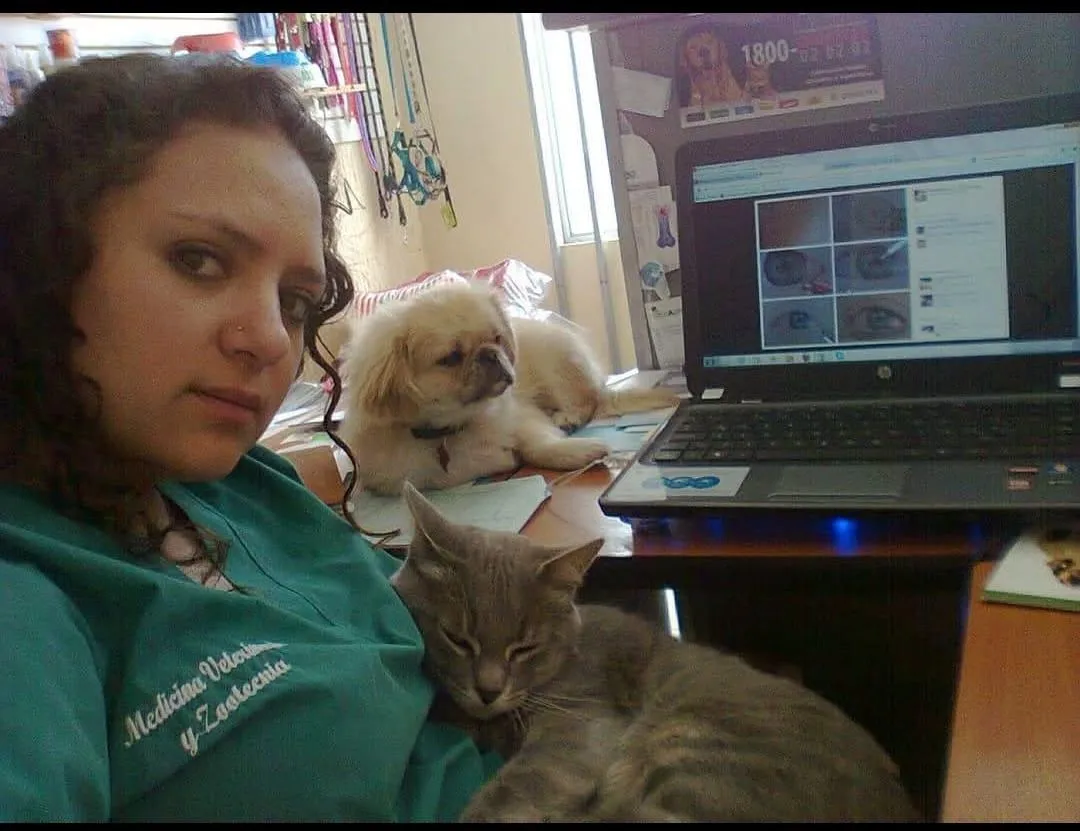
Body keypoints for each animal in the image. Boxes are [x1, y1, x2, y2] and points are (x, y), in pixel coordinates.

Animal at [337, 281, 680, 495]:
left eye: (497, 338)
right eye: (451, 358)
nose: (491, 354)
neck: (451, 428)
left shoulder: (523, 417)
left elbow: (539, 445)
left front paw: (576, 451)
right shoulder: (407, 478)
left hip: (555, 362)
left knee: (588, 402)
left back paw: (568, 416)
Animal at [390, 482, 922, 822]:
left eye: (524, 647)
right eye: (458, 639)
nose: (487, 690)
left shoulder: (578, 728)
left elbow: (512, 791)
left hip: (700, 754)